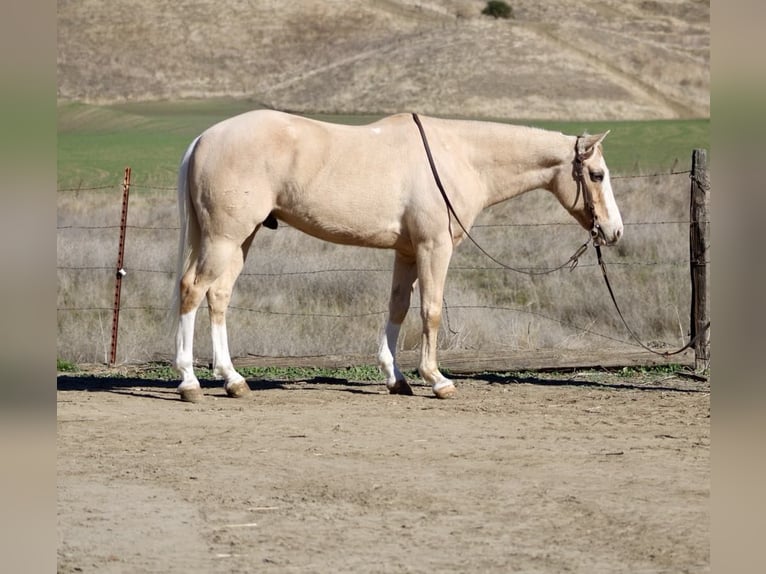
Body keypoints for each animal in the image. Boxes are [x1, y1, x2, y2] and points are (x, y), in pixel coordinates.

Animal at [172, 110, 623, 402]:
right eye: (597, 175)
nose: (614, 231)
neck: (457, 157)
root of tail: (203, 140)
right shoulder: (433, 247)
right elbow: (431, 311)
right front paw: (436, 379)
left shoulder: (407, 251)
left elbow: (398, 308)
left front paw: (396, 378)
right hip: (224, 237)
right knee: (192, 290)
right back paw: (189, 382)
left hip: (239, 239)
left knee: (219, 296)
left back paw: (233, 380)